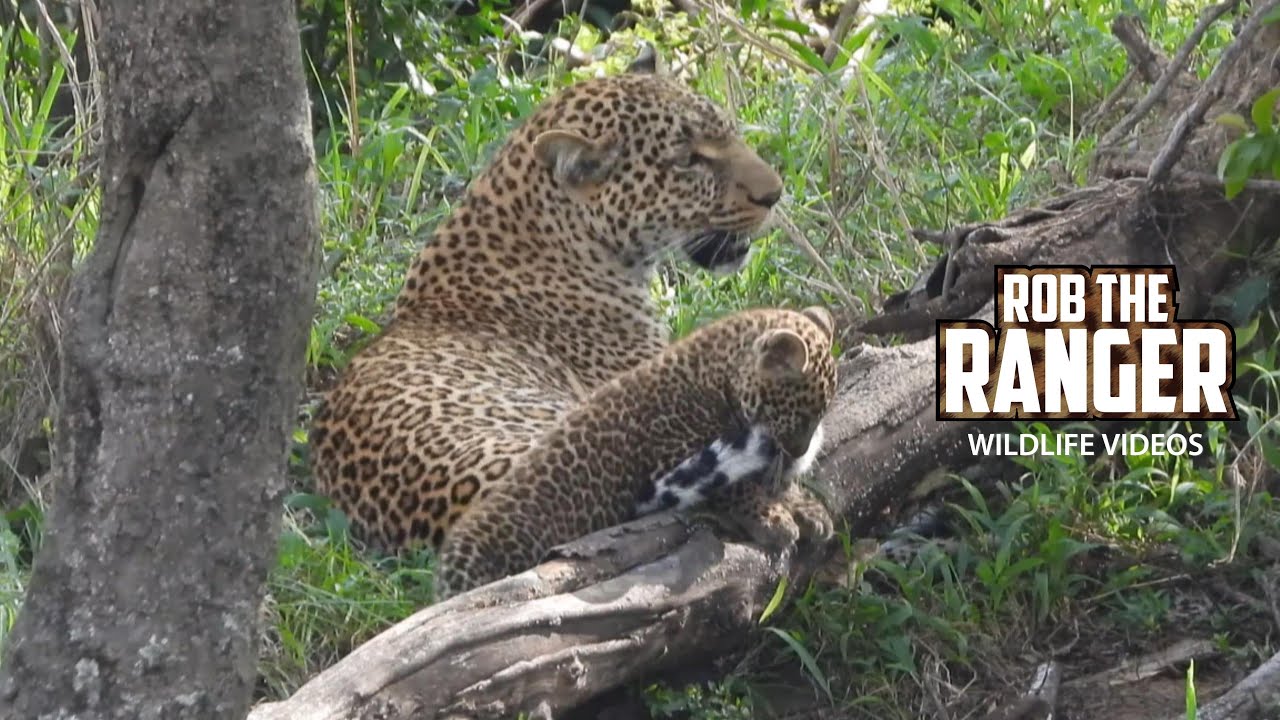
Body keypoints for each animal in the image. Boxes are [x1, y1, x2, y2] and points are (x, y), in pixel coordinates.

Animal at [434, 305, 840, 598]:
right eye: (801, 414)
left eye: (820, 414)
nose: (799, 450)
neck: (718, 376)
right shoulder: (670, 457)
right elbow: (735, 486)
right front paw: (773, 518)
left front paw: (805, 507)